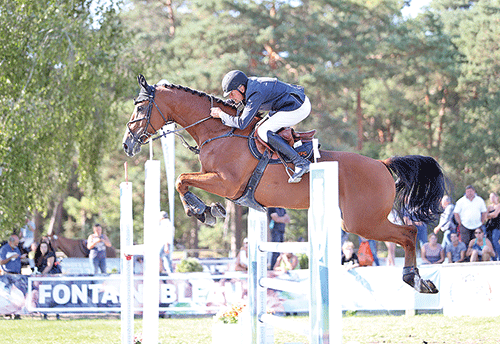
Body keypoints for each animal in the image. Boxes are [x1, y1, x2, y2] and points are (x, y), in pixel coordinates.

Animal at [123, 74, 448, 292]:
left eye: (140, 108)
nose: (127, 144)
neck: (220, 133)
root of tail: (381, 164)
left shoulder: (226, 183)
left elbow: (181, 180)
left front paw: (203, 211)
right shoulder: (221, 182)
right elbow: (184, 180)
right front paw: (207, 210)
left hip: (362, 222)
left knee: (408, 233)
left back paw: (415, 279)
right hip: (359, 221)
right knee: (407, 233)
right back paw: (418, 280)